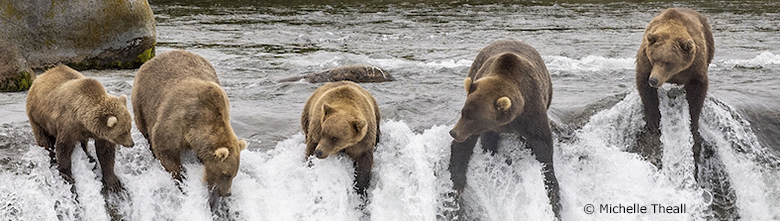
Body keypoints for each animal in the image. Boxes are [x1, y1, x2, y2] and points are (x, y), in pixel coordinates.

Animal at [26, 64, 135, 192]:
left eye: (130, 127)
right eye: (123, 132)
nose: (131, 144)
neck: (82, 119)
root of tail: (41, 76)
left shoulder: (98, 133)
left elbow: (106, 152)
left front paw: (113, 182)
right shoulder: (68, 125)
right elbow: (64, 147)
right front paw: (66, 175)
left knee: (84, 142)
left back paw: (89, 156)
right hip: (37, 116)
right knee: (44, 139)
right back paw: (51, 157)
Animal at [444, 39, 560, 218]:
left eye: (473, 118)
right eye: (463, 112)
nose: (453, 132)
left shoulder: (531, 109)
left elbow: (542, 142)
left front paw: (551, 188)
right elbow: (463, 148)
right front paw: (456, 184)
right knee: (489, 139)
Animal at [632, 7, 712, 179]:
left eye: (668, 62)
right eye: (654, 57)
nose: (654, 80)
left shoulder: (695, 65)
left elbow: (697, 92)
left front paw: (693, 122)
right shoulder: (645, 60)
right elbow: (644, 87)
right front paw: (654, 122)